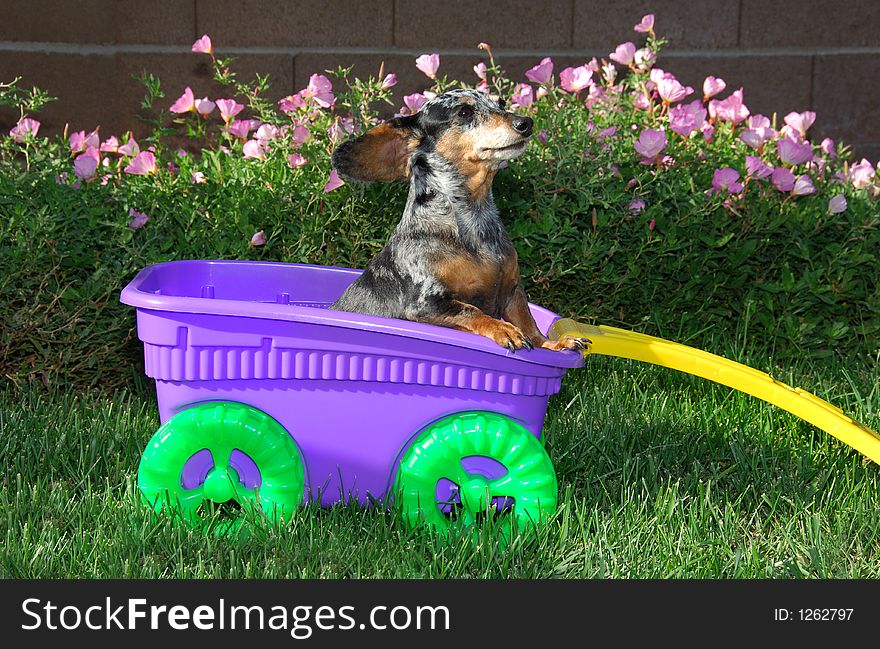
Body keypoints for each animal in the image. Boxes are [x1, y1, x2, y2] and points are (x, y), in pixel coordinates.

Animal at [326, 87, 588, 354]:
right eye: (464, 112)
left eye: (501, 103)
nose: (525, 123)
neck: (472, 223)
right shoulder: (427, 302)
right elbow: (471, 310)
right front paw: (502, 329)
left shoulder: (513, 292)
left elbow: (529, 324)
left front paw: (552, 344)